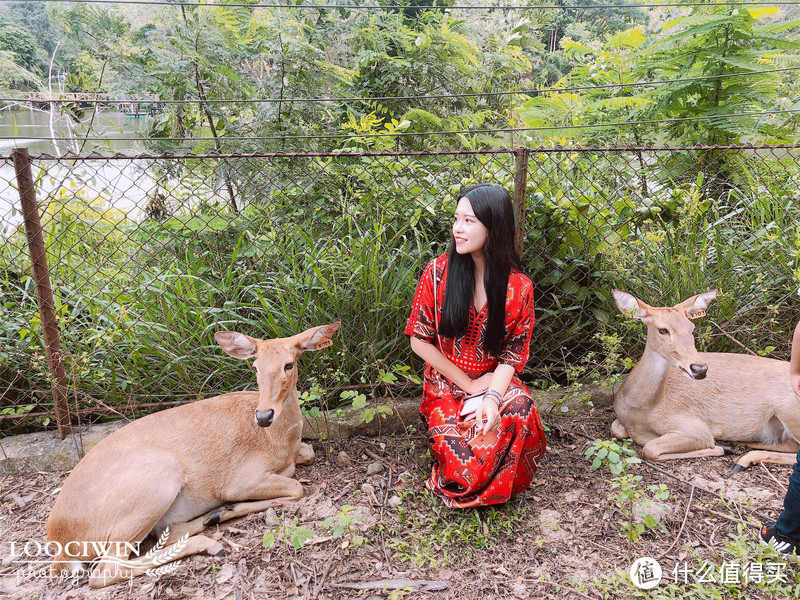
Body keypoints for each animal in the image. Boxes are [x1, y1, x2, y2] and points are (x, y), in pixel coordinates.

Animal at [608, 292, 796, 474]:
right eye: (662, 329)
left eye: (691, 328)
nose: (700, 369)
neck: (643, 409)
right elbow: (616, 429)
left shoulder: (696, 427)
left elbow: (650, 448)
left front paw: (720, 447)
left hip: (788, 410)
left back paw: (740, 460)